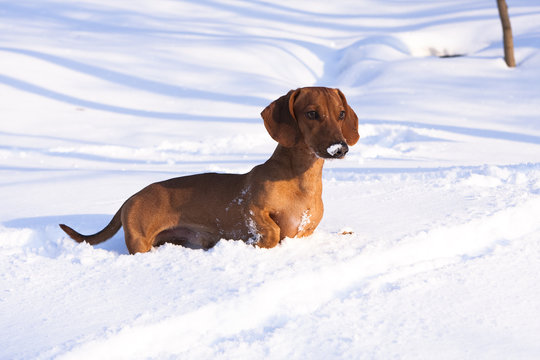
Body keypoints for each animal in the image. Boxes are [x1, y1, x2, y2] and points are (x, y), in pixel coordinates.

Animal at [60, 87, 358, 253]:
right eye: (311, 113)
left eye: (341, 114)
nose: (339, 148)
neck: (300, 180)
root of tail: (128, 199)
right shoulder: (253, 211)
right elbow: (272, 231)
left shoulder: (305, 231)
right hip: (140, 242)